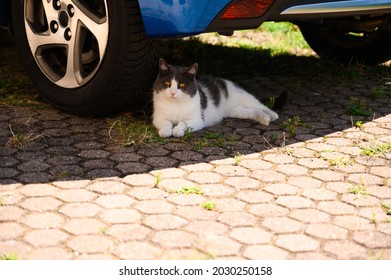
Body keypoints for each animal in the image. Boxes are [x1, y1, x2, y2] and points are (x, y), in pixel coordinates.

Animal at [152, 59, 286, 138]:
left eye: (182, 85)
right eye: (168, 83)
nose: (173, 93)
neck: (175, 104)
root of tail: (223, 80)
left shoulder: (197, 119)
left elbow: (182, 123)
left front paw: (177, 131)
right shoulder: (158, 117)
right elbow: (165, 123)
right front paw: (165, 131)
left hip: (244, 97)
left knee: (260, 105)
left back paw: (272, 115)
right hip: (236, 111)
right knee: (252, 111)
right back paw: (264, 118)